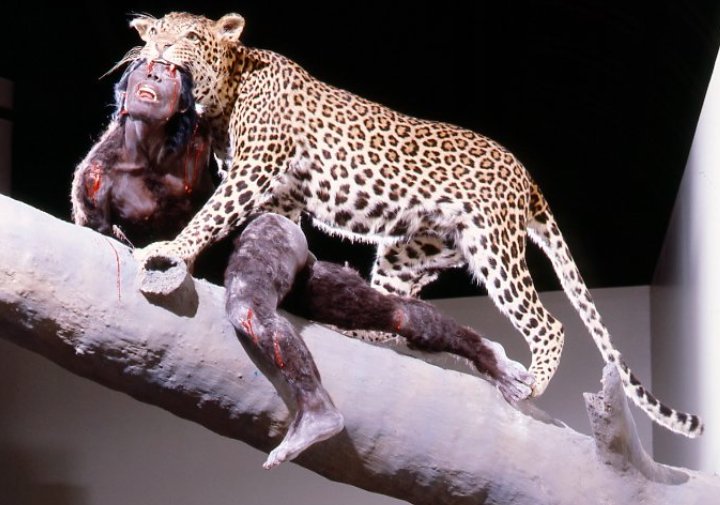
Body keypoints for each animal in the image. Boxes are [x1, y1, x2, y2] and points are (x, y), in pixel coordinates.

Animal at [127, 11, 702, 437]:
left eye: (191, 37)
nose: (157, 55)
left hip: (494, 247)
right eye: (156, 33)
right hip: (409, 253)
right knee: (395, 307)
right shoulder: (282, 196)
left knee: (548, 322)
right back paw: (355, 327)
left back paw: (532, 385)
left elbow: (211, 214)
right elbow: (278, 239)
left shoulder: (257, 167)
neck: (225, 92)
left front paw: (170, 250)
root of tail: (526, 175)